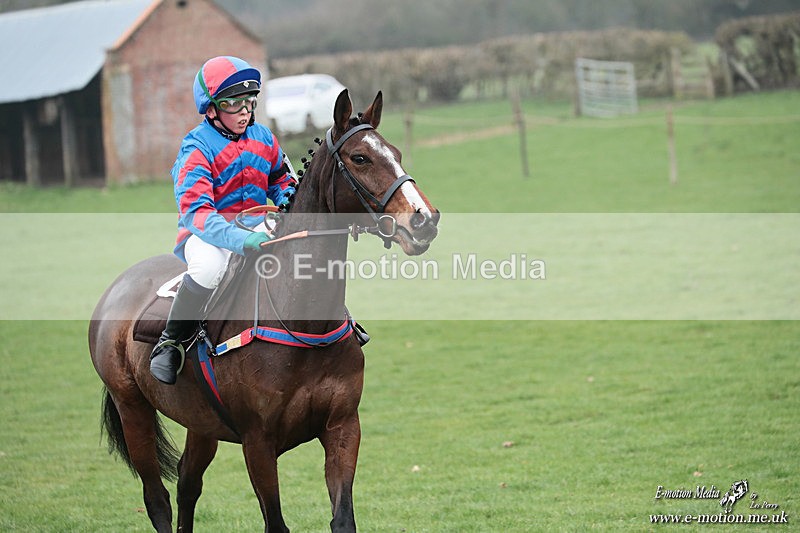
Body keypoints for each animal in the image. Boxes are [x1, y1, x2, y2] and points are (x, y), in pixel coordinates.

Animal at [89, 89, 439, 533]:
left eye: (395, 152)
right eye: (360, 158)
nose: (425, 219)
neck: (301, 320)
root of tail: (118, 287)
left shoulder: (343, 427)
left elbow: (343, 518)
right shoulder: (257, 442)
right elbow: (275, 522)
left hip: (200, 422)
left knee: (187, 484)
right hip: (132, 408)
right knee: (158, 499)